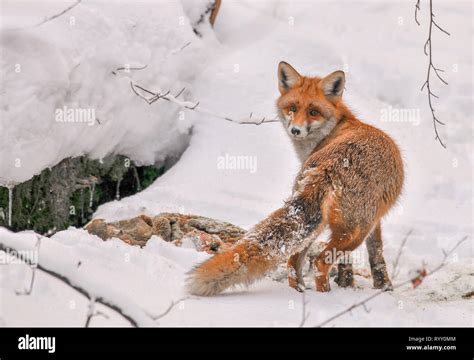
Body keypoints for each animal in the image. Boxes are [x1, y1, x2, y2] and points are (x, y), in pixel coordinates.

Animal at [186, 60, 404, 296]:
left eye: (313, 112)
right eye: (292, 108)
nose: (296, 130)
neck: (334, 130)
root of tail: (330, 165)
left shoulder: (374, 218)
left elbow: (371, 255)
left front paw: (374, 285)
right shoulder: (371, 222)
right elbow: (373, 254)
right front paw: (373, 287)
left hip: (321, 224)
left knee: (292, 260)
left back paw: (298, 291)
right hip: (353, 230)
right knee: (319, 262)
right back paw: (325, 295)